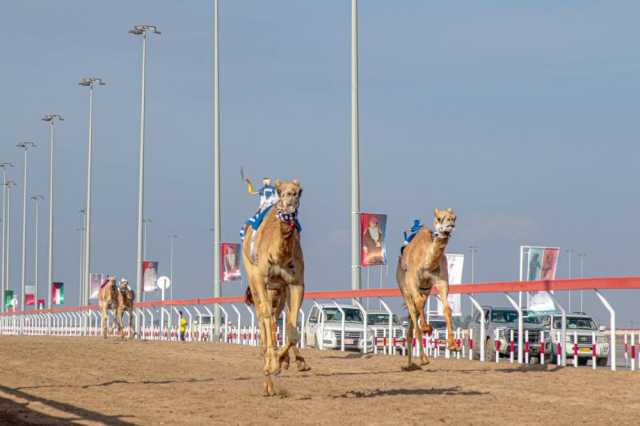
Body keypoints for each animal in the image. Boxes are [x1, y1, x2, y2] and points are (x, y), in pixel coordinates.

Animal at [241, 179, 308, 396]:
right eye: (280, 191)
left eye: (299, 192)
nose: (291, 199)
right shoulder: (260, 278)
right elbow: (267, 318)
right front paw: (272, 365)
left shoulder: (296, 283)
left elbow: (293, 327)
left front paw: (286, 361)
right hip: (254, 280)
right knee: (264, 316)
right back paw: (268, 373)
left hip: (279, 289)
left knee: (277, 316)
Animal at [398, 208, 458, 372]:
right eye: (439, 218)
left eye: (454, 218)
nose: (450, 224)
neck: (427, 262)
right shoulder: (412, 280)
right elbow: (418, 304)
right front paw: (426, 328)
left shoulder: (441, 281)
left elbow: (447, 309)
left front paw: (453, 345)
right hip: (404, 289)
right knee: (413, 310)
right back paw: (422, 359)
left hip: (425, 289)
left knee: (415, 315)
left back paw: (411, 363)